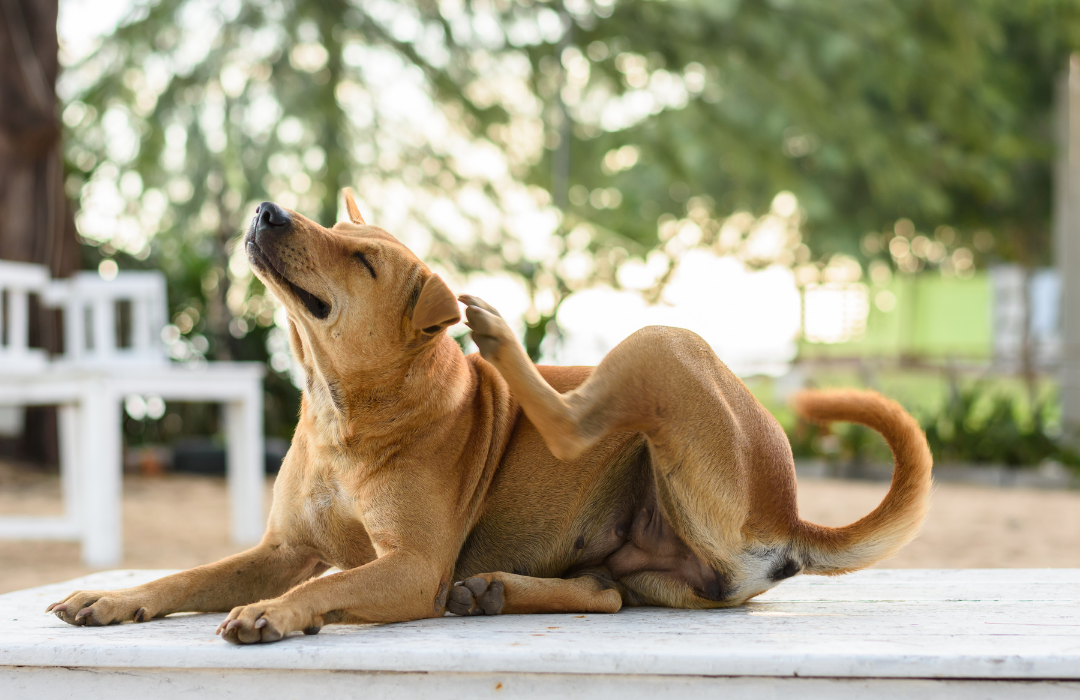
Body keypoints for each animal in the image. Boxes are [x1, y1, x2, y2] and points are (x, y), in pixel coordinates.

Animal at [46, 189, 933, 643]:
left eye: (361, 258)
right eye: (333, 226)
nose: (268, 210)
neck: (345, 411)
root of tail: (787, 511)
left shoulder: (412, 567)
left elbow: (328, 584)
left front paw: (275, 613)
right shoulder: (281, 549)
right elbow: (188, 577)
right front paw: (116, 598)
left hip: (663, 345)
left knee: (575, 420)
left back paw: (501, 339)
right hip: (648, 565)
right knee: (605, 594)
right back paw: (498, 590)